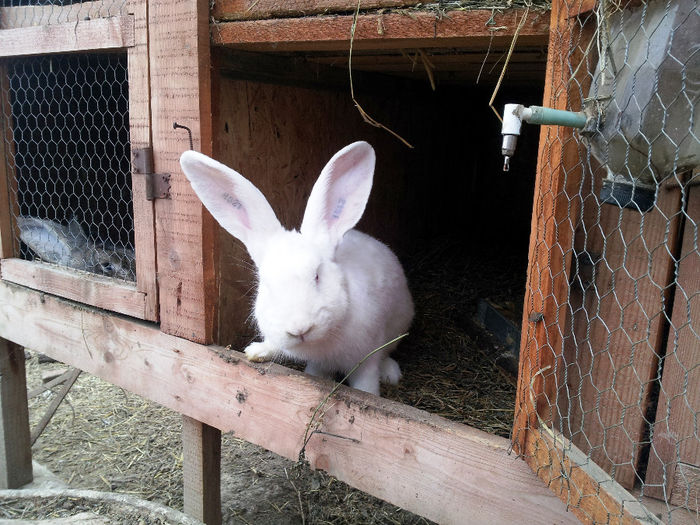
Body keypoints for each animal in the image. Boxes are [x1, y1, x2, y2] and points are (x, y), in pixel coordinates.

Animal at [178, 141, 416, 396]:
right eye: (266, 285)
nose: (299, 329)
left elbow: (366, 385)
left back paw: (391, 373)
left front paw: (371, 392)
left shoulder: (366, 358)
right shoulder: (318, 363)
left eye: (317, 276)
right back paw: (257, 351)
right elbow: (314, 373)